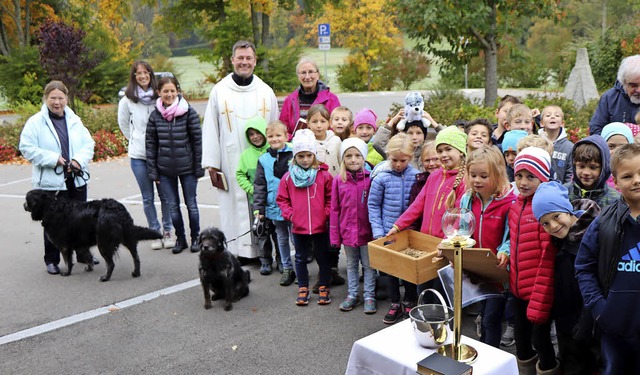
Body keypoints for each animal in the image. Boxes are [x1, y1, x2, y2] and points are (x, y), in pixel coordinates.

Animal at [25, 189, 164, 280]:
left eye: (27, 200)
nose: (23, 205)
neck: (50, 207)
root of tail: (118, 210)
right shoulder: (81, 241)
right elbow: (87, 256)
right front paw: (89, 267)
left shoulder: (64, 245)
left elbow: (67, 261)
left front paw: (67, 272)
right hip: (128, 238)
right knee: (136, 258)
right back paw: (136, 273)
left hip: (104, 242)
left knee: (111, 263)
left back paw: (105, 277)